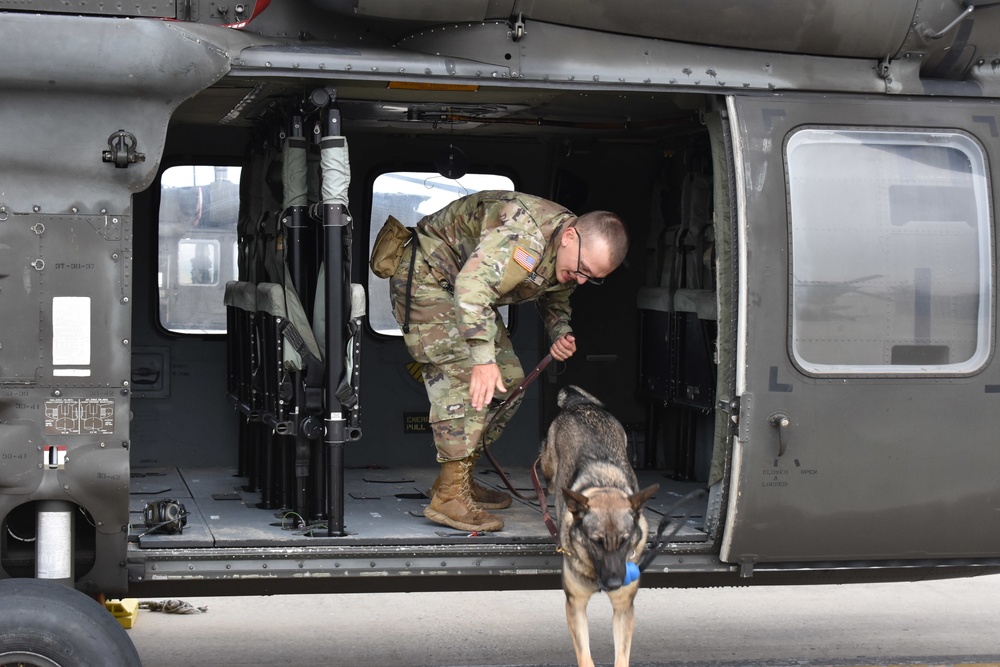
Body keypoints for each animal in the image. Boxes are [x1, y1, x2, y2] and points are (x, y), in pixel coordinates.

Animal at [544, 386, 660, 667]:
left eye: (626, 540)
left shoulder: (623, 610)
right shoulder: (575, 606)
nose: (615, 583)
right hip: (548, 462)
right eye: (596, 542)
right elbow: (585, 657)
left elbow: (622, 657)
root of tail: (580, 404)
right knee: (547, 473)